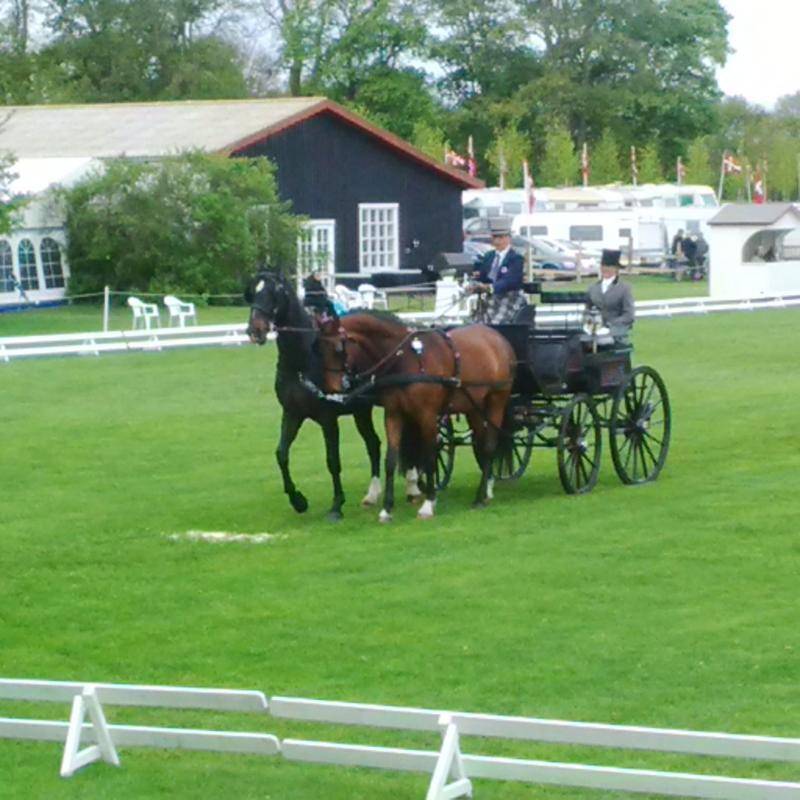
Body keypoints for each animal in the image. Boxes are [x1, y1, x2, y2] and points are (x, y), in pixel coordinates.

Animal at [245, 271, 420, 520]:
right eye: (254, 291)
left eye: (275, 291)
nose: (255, 331)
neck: (303, 361)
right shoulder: (292, 414)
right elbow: (281, 454)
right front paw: (298, 501)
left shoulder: (328, 419)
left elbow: (332, 461)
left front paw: (337, 505)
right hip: (361, 410)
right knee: (373, 444)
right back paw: (372, 494)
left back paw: (413, 487)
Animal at [317, 311, 517, 521]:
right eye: (318, 350)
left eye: (339, 349)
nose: (331, 389)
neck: (405, 359)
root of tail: (497, 336)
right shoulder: (394, 414)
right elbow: (391, 459)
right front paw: (387, 508)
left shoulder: (426, 415)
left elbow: (429, 456)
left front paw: (428, 504)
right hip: (474, 407)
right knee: (481, 443)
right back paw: (486, 489)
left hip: (496, 400)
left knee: (489, 446)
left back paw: (479, 497)